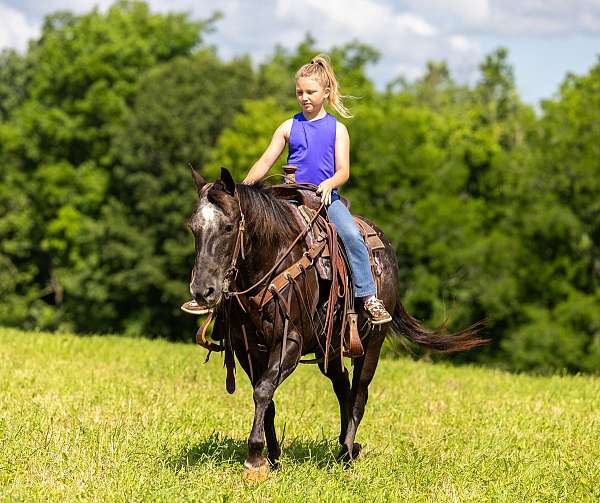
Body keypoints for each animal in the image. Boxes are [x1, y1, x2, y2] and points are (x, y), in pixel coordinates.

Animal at [189, 167, 488, 478]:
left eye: (228, 227)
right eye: (193, 228)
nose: (202, 291)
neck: (273, 260)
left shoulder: (291, 341)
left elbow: (263, 390)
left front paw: (255, 459)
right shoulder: (246, 347)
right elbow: (265, 396)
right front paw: (271, 458)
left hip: (372, 345)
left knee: (359, 395)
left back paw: (346, 453)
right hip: (331, 349)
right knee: (343, 388)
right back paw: (347, 448)